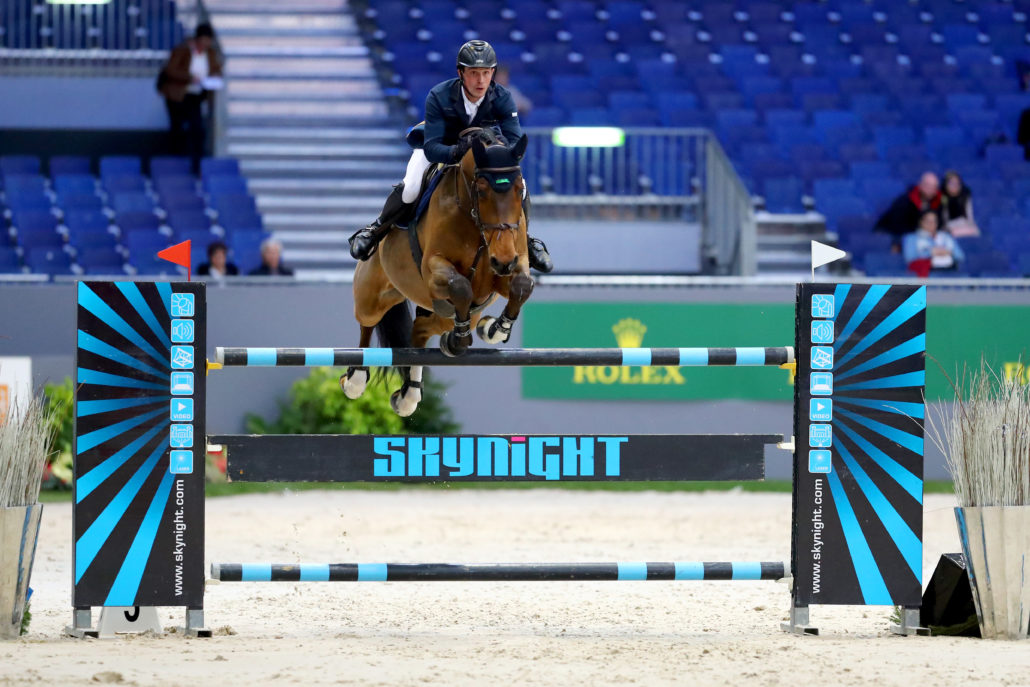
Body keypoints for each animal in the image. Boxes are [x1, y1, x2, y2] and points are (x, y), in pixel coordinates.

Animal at [342, 128, 535, 416]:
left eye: (519, 189)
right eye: (482, 190)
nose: (502, 261)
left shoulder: (508, 267)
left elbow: (522, 285)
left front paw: (494, 329)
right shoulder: (434, 269)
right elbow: (461, 286)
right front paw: (462, 339)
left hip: (445, 312)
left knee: (420, 330)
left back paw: (410, 394)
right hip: (372, 295)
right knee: (368, 322)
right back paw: (355, 379)